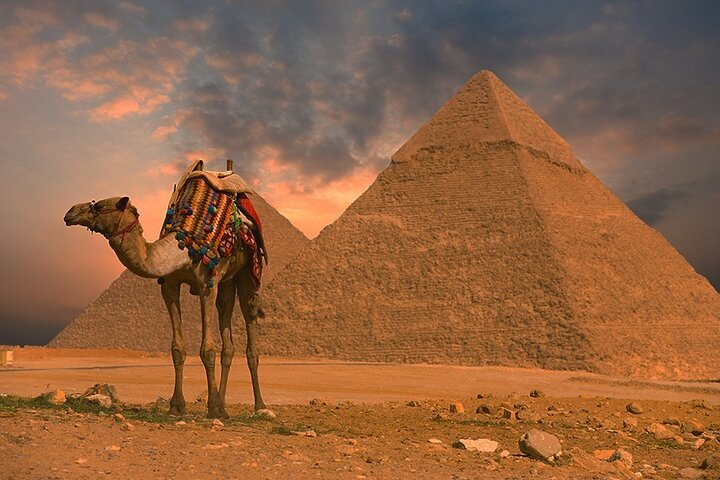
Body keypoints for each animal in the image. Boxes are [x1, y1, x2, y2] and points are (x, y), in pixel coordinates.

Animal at [63, 191, 271, 419]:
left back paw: (259, 405)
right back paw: (224, 403)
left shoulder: (207, 285)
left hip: (247, 273)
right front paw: (177, 406)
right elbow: (177, 349)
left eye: (99, 206)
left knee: (249, 319)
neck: (182, 251)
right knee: (227, 331)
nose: (70, 212)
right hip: (226, 281)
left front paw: (214, 407)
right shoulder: (170, 285)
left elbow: (207, 349)